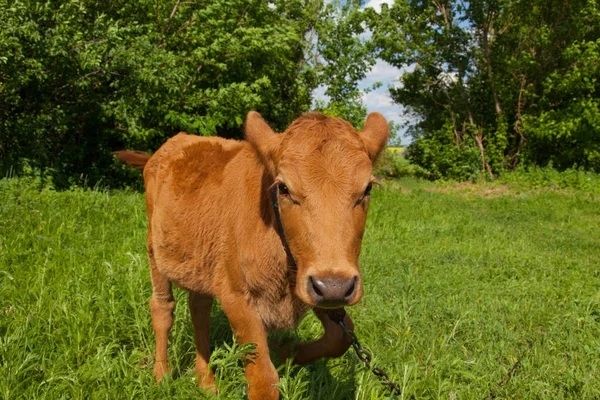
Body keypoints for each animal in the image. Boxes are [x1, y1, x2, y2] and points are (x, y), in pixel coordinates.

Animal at [115, 111, 390, 398]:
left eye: (367, 189)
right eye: (283, 188)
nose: (335, 286)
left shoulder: (313, 282)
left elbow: (340, 338)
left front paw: (286, 352)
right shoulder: (237, 296)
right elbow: (263, 379)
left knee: (199, 309)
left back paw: (206, 381)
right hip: (154, 248)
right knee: (162, 307)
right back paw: (161, 375)